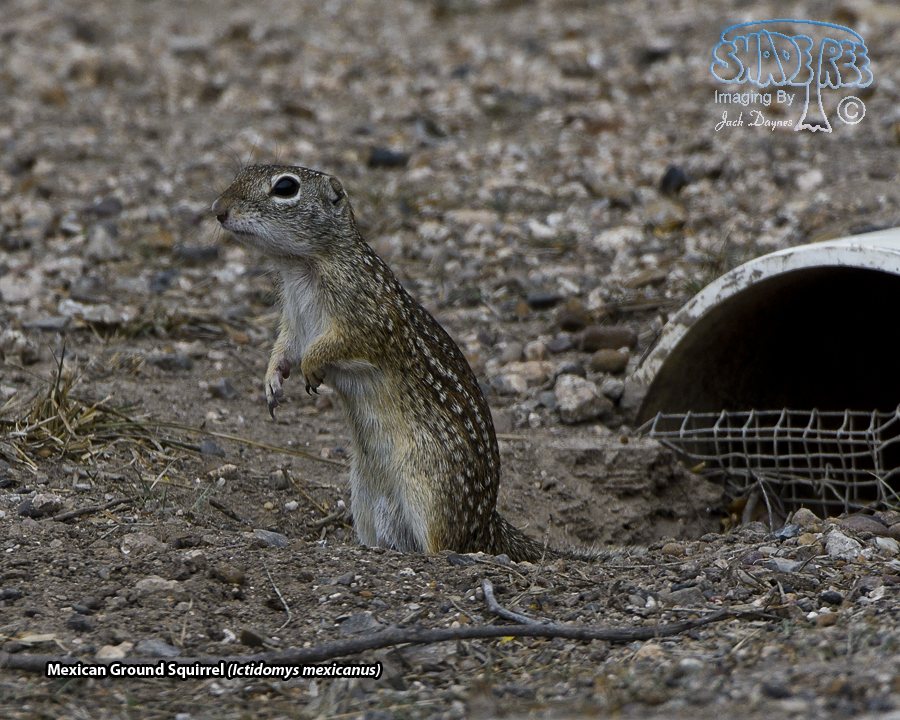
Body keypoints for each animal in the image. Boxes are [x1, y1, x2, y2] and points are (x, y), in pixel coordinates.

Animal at [212, 164, 559, 562]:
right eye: (243, 171)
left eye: (285, 187)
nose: (217, 210)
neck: (302, 267)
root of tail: (489, 523)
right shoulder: (293, 322)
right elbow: (283, 349)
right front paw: (271, 382)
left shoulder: (367, 319)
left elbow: (336, 345)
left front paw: (312, 367)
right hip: (365, 501)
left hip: (430, 494)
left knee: (446, 544)